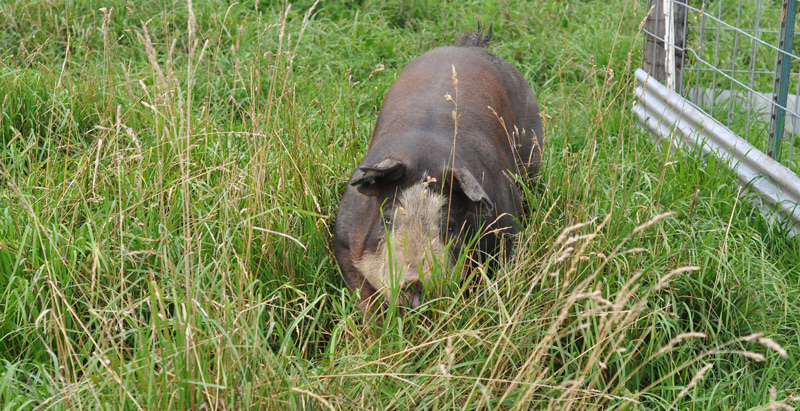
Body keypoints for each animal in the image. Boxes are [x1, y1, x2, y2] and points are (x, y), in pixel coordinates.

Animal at [333, 23, 544, 313]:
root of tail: (471, 47)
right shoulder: (344, 243)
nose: (413, 281)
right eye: (387, 219)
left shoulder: (506, 233)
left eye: (449, 226)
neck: (425, 157)